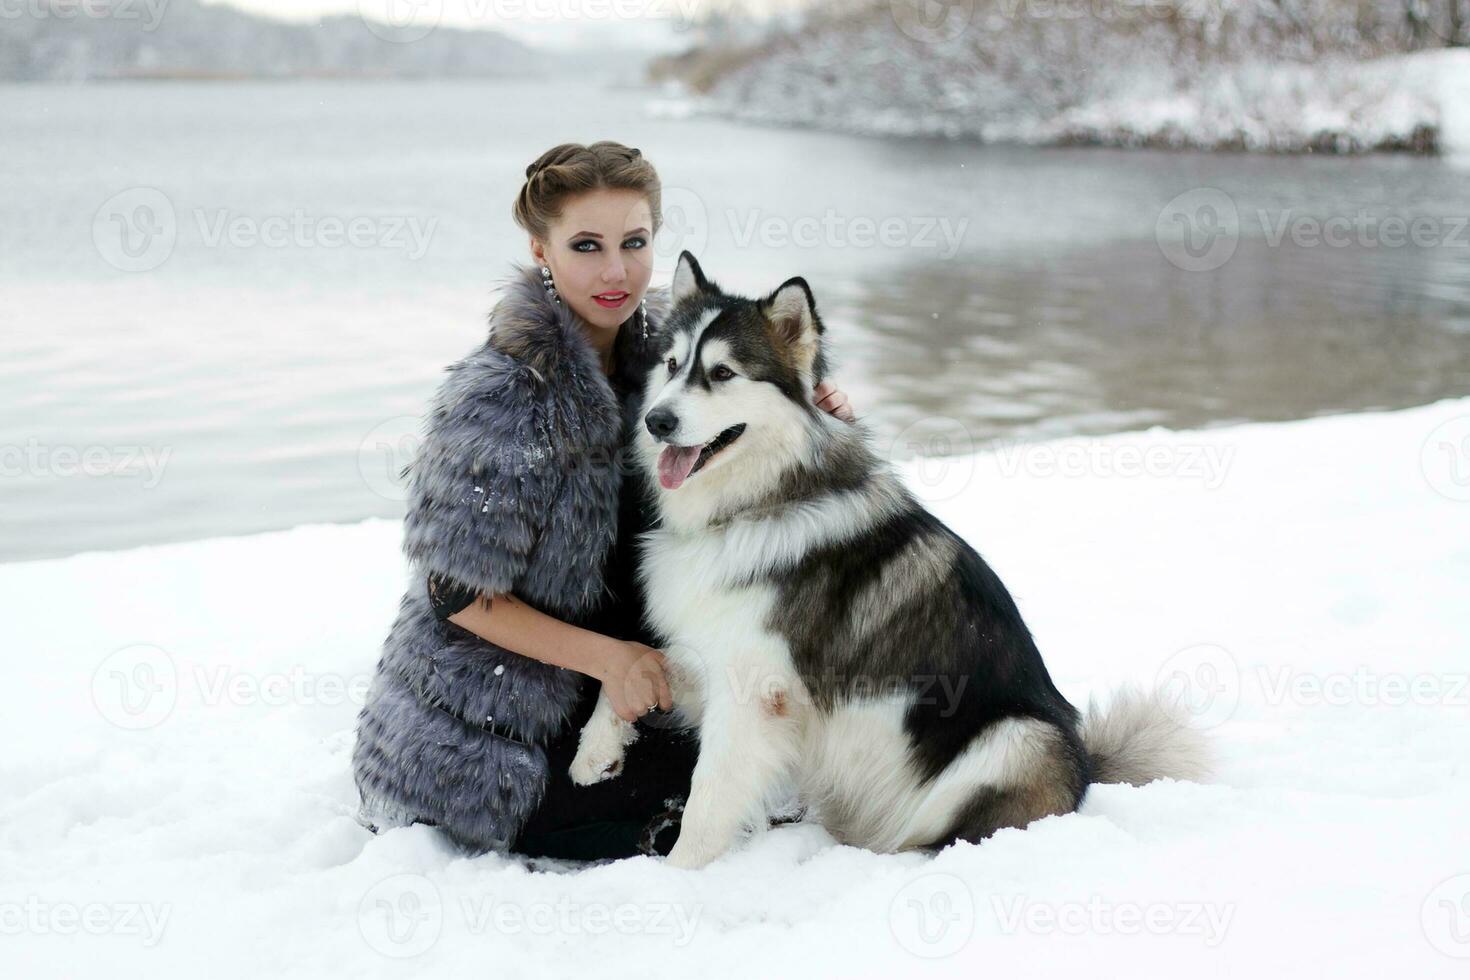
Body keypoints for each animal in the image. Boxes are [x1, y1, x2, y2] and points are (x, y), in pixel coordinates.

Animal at [564, 249, 1205, 869]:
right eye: (672, 365)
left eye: (722, 373)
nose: (657, 421)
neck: (759, 504)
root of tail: (1086, 770)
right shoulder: (722, 658)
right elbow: (640, 667)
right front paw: (596, 750)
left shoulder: (756, 692)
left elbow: (707, 801)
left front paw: (677, 880)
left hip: (1019, 739)